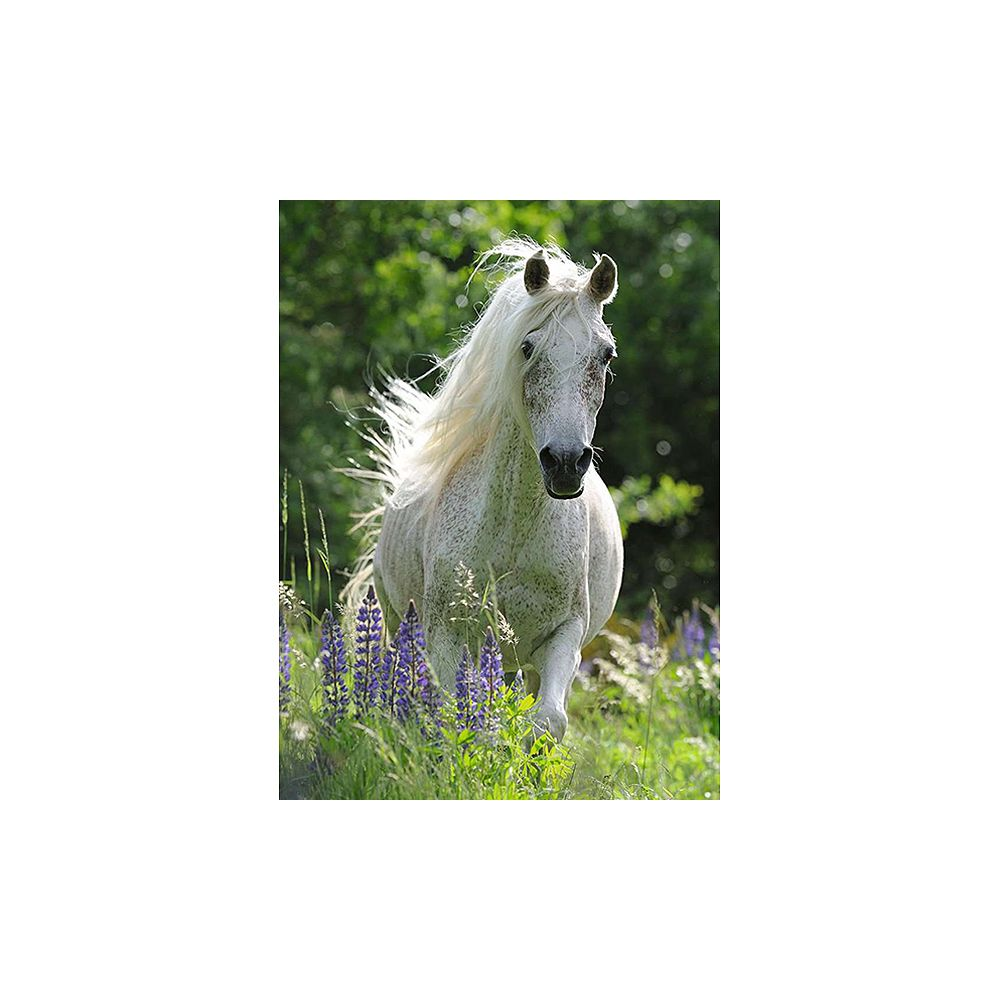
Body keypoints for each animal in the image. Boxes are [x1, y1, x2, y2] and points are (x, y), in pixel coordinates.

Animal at [351, 237, 623, 741]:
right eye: (528, 346)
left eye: (606, 354)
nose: (565, 463)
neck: (514, 530)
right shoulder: (445, 636)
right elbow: (455, 716)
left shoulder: (564, 635)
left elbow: (548, 721)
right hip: (399, 624)